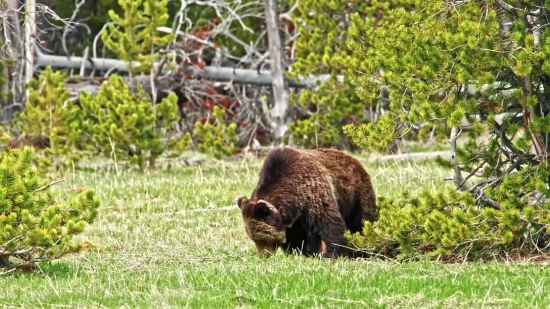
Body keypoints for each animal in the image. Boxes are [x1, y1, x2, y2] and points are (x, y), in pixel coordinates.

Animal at [239, 147, 378, 258]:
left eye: (263, 239)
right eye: (254, 240)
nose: (264, 256)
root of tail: (354, 160)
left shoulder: (314, 193)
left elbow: (329, 224)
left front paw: (329, 254)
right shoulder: (293, 220)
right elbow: (296, 237)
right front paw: (300, 252)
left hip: (357, 196)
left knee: (360, 223)